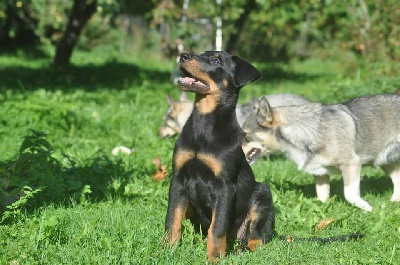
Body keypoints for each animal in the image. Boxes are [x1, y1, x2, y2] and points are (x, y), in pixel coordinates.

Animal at [163, 51, 276, 260]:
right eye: (201, 54)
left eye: (215, 60)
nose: (183, 55)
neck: (204, 123)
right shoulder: (178, 179)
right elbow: (172, 219)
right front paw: (165, 251)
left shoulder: (224, 187)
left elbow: (217, 228)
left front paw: (214, 258)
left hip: (263, 194)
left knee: (257, 237)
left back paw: (244, 250)